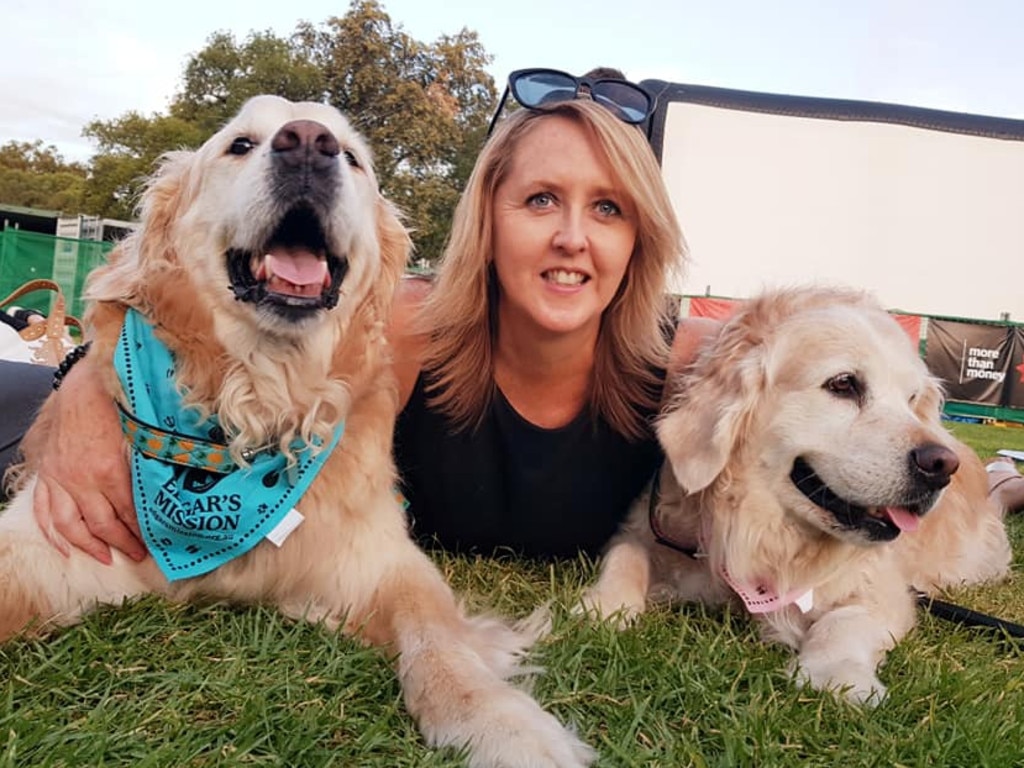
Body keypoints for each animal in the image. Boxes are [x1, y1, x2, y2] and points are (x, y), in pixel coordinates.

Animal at [2, 96, 593, 768]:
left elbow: (440, 640)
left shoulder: (384, 561)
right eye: (240, 144)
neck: (259, 408)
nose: (309, 143)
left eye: (353, 156)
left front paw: (500, 721)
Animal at [581, 286, 1011, 704]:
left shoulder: (884, 588)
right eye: (843, 384)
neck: (760, 530)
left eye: (911, 400)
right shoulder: (647, 529)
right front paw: (605, 604)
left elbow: (845, 621)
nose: (941, 466)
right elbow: (627, 557)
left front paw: (835, 674)